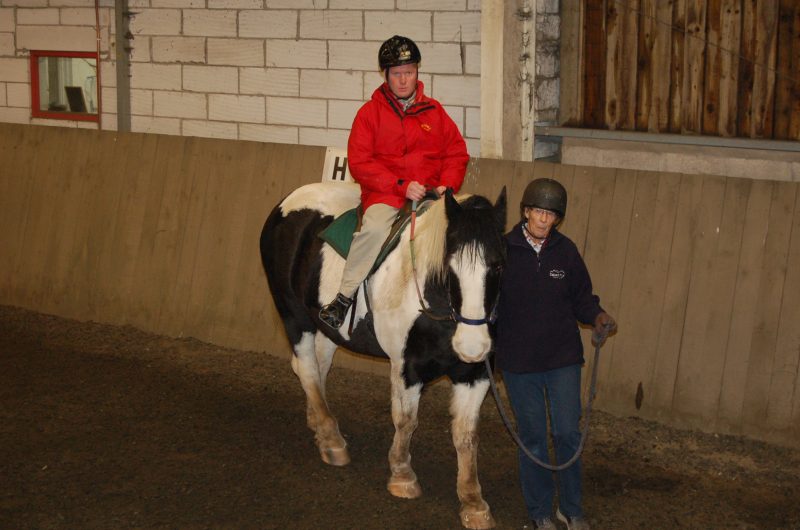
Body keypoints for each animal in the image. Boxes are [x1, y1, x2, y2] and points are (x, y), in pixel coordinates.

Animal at [256, 183, 506, 528]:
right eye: (450, 264)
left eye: (498, 265)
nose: (472, 346)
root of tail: (289, 200)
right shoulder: (407, 367)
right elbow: (406, 420)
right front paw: (402, 476)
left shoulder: (475, 375)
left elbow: (467, 435)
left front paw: (473, 502)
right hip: (293, 313)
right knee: (306, 367)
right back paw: (331, 439)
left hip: (326, 328)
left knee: (318, 367)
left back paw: (319, 423)